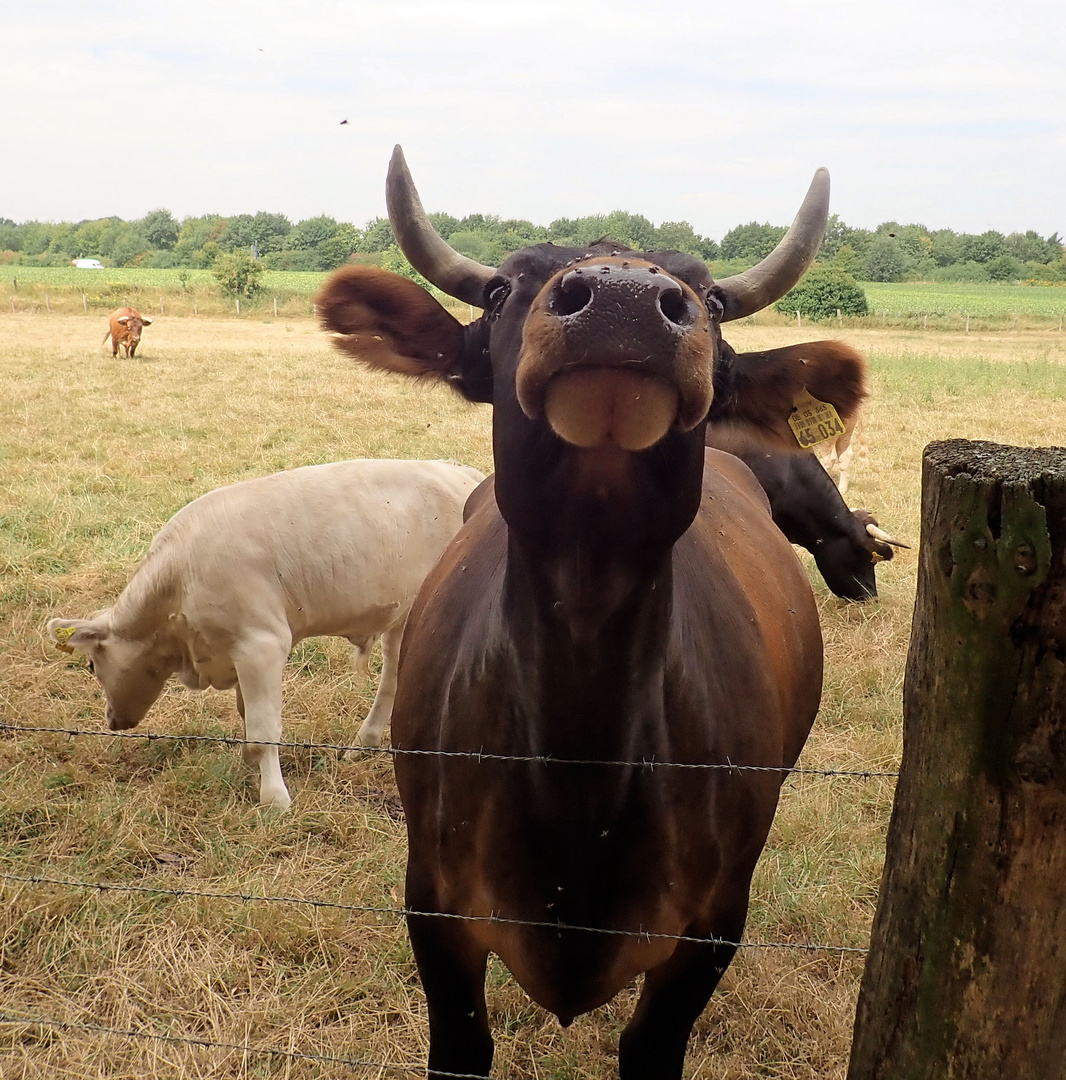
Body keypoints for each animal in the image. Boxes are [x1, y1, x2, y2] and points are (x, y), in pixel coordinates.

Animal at [45, 457, 486, 812]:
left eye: (91, 666)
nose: (112, 720)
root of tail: (464, 473)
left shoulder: (262, 645)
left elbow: (263, 729)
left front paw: (274, 798)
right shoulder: (238, 651)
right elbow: (246, 715)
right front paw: (249, 768)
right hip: (402, 619)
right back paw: (367, 743)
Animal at [315, 145, 868, 1080]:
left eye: (713, 299)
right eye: (503, 288)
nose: (622, 301)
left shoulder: (711, 928)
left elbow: (651, 1046)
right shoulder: (434, 906)